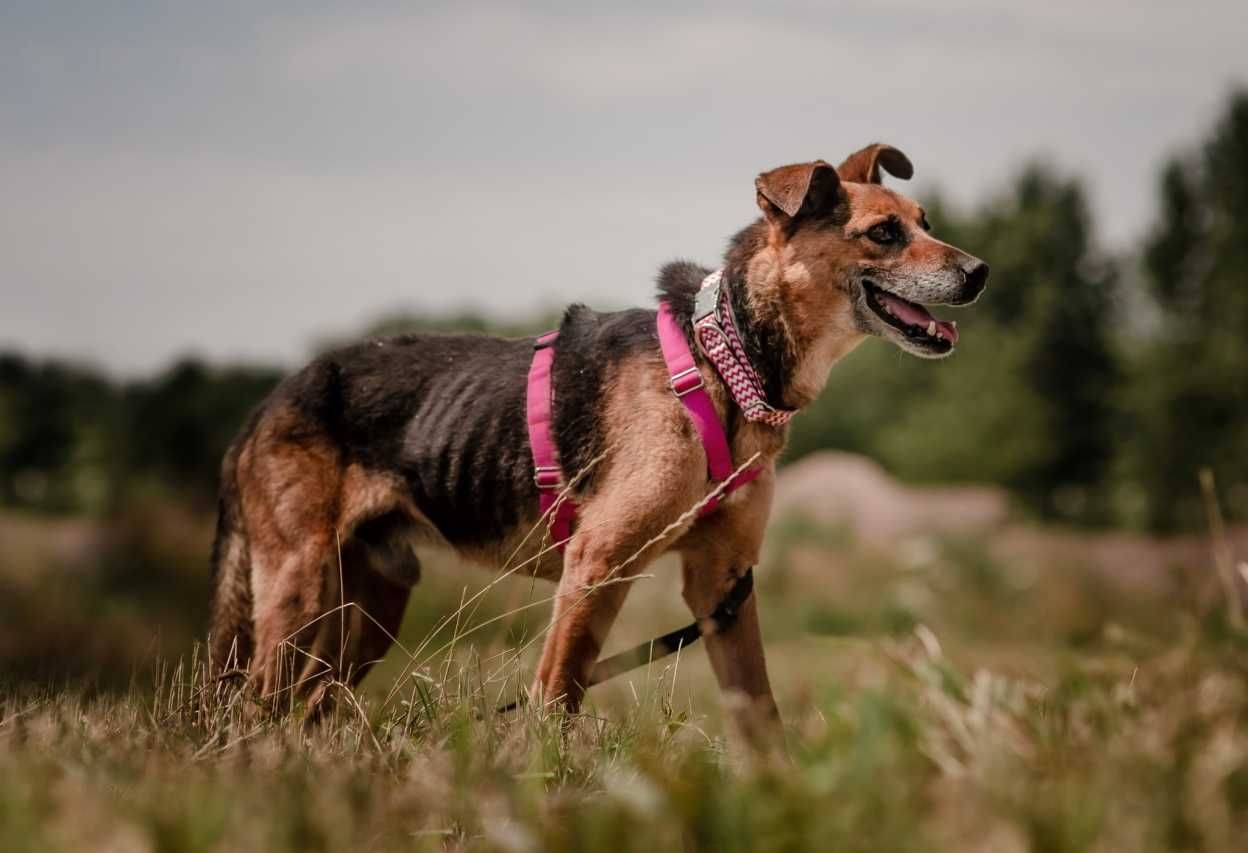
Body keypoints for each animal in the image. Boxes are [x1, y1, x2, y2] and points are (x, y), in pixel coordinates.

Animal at [209, 143, 988, 744]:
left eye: (926, 222)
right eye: (883, 233)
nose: (980, 272)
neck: (724, 356)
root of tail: (264, 405)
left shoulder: (723, 584)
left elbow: (760, 716)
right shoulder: (597, 565)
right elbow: (557, 698)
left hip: (371, 605)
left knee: (308, 707)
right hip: (300, 584)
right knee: (257, 706)